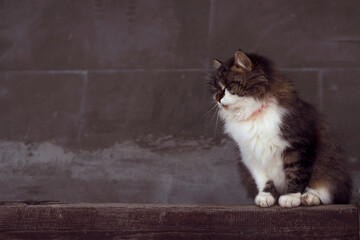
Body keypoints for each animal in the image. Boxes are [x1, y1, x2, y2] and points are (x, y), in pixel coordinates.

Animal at [211, 49, 352, 207]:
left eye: (227, 86)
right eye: (215, 88)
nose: (217, 99)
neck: (253, 113)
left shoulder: (298, 145)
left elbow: (296, 174)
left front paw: (291, 197)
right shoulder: (250, 154)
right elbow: (264, 180)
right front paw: (266, 196)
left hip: (331, 173)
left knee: (326, 192)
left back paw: (309, 198)